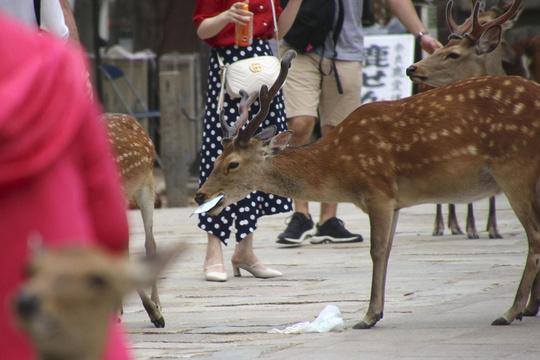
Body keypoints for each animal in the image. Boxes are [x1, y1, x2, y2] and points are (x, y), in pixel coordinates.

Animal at [196, 50, 540, 330]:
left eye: (233, 164)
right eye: (215, 159)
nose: (200, 195)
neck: (341, 171)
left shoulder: (378, 190)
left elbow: (376, 250)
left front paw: (369, 316)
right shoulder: (396, 201)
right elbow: (387, 250)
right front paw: (376, 312)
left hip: (514, 166)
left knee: (534, 236)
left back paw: (510, 312)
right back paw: (529, 308)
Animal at [404, 0, 524, 240]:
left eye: (453, 54)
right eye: (439, 50)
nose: (412, 68)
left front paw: (493, 228)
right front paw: (471, 228)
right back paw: (443, 225)